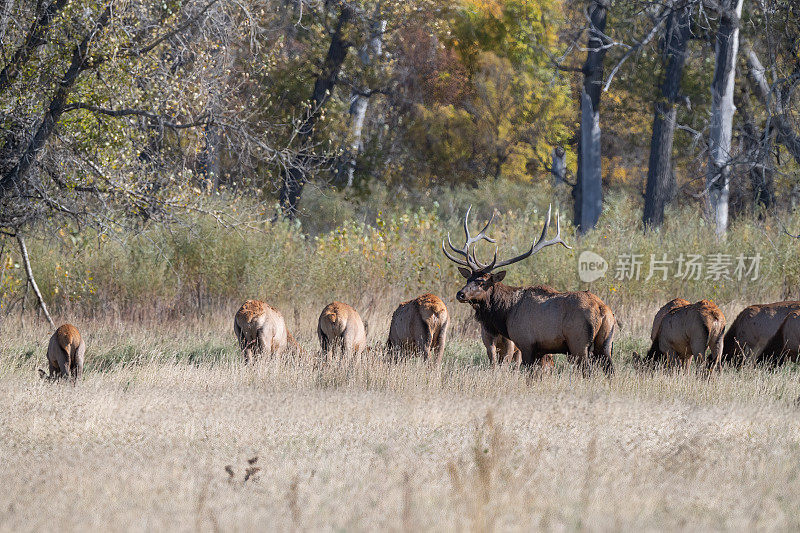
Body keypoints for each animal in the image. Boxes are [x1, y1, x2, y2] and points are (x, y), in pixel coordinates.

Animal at [440, 204, 616, 374]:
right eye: (468, 279)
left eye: (482, 282)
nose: (460, 294)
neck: (506, 313)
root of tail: (602, 310)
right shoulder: (541, 349)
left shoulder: (526, 343)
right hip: (605, 343)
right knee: (610, 370)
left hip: (579, 343)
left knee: (588, 370)